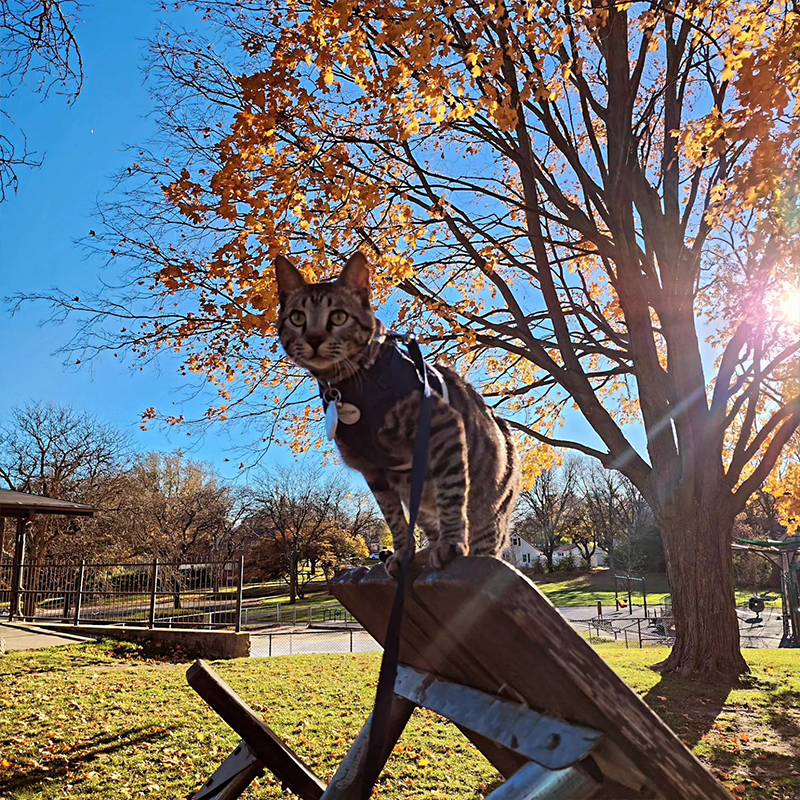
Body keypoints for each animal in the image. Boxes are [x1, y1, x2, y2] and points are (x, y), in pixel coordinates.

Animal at [276, 253, 520, 572]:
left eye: (338, 316)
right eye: (297, 317)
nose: (315, 338)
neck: (350, 387)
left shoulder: (442, 428)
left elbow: (451, 493)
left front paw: (452, 543)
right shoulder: (373, 470)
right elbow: (394, 519)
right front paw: (403, 553)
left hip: (489, 515)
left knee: (482, 541)